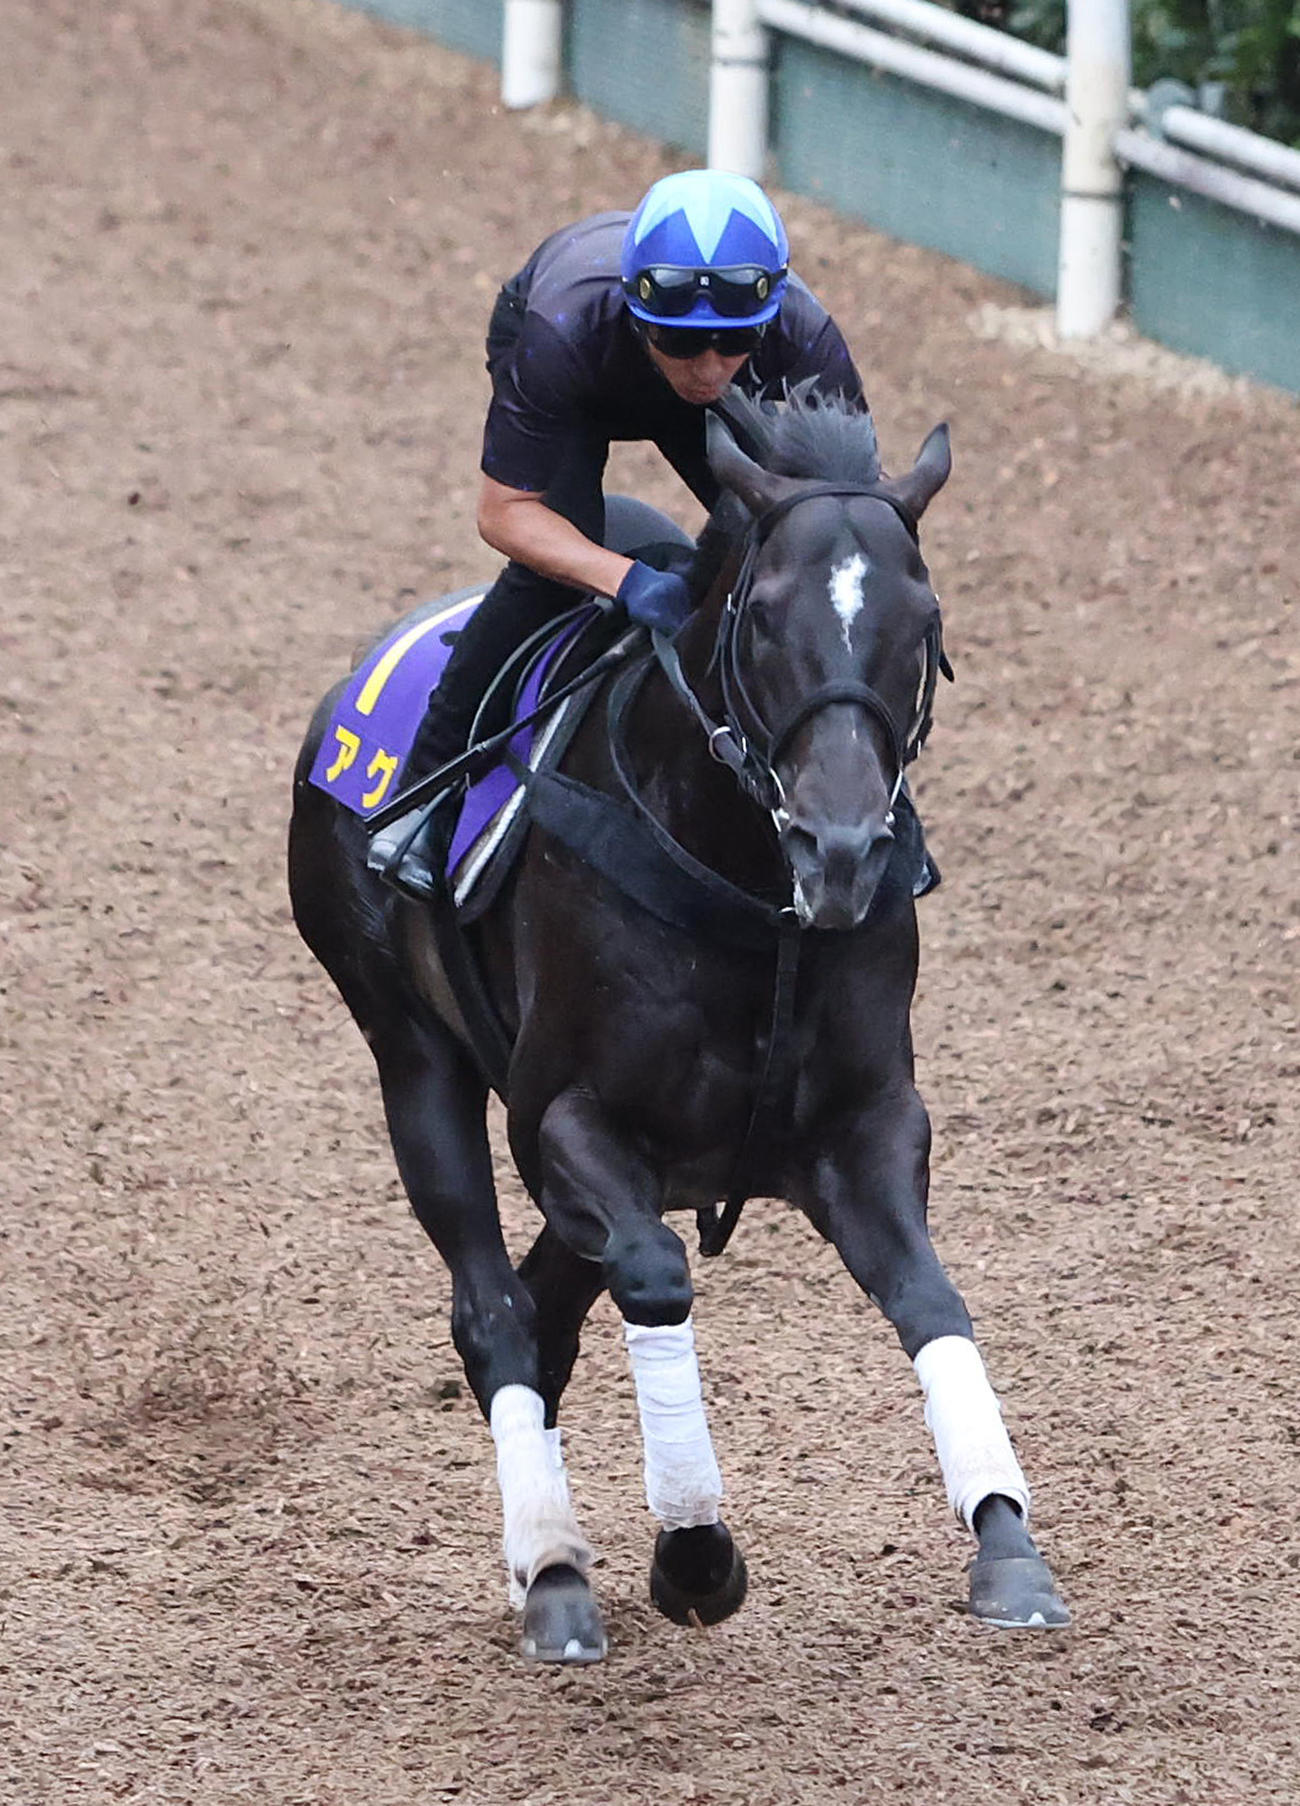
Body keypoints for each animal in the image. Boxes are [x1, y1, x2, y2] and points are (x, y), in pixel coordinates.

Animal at [287, 388, 1069, 1663]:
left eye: (925, 619)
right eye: (759, 619)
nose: (840, 850)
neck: (748, 896)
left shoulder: (864, 1128)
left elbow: (932, 1300)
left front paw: (1005, 1543)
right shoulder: (568, 1123)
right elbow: (654, 1278)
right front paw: (694, 1551)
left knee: (544, 1308)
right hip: (411, 1058)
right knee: (496, 1310)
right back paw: (553, 1569)